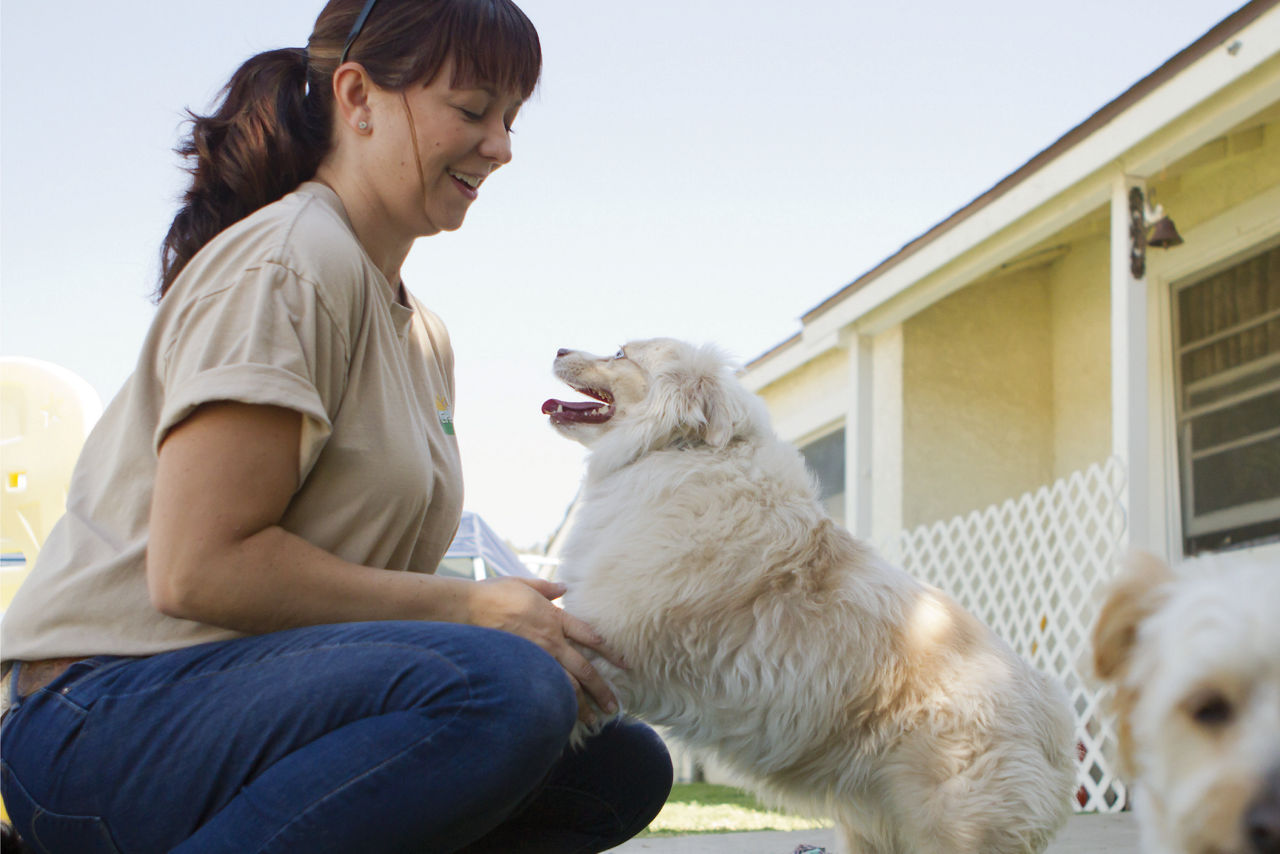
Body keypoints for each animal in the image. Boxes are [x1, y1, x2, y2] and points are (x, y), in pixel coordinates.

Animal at [545, 338, 1075, 854]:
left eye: (620, 354)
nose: (558, 350)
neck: (674, 450)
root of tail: (1054, 717)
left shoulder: (600, 638)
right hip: (875, 830)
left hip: (951, 829)